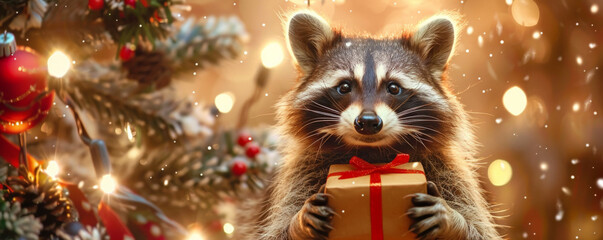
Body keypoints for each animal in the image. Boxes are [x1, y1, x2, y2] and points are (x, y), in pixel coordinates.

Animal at [236, 10, 500, 239]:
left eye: (394, 88)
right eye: (344, 86)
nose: (368, 122)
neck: (372, 155)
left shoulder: (448, 172)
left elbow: (479, 230)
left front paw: (452, 221)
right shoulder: (299, 175)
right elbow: (275, 230)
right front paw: (299, 223)